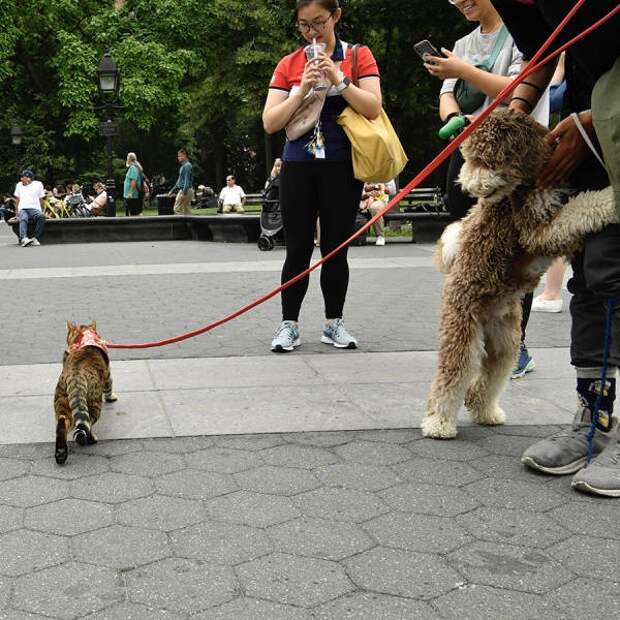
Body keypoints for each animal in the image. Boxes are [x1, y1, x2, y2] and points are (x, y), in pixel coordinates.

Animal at [53, 322, 117, 462]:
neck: (85, 336)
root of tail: (75, 377)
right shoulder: (107, 374)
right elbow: (109, 387)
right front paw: (111, 397)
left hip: (62, 400)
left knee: (62, 423)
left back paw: (61, 453)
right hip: (94, 402)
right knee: (87, 424)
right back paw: (91, 439)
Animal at [418, 111, 616, 440]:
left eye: (485, 159)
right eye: (469, 158)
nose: (466, 187)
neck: (529, 182)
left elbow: (577, 208)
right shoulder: (537, 232)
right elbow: (581, 209)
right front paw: (612, 198)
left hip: (506, 342)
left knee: (488, 379)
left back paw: (486, 412)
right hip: (463, 331)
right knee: (452, 376)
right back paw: (438, 423)